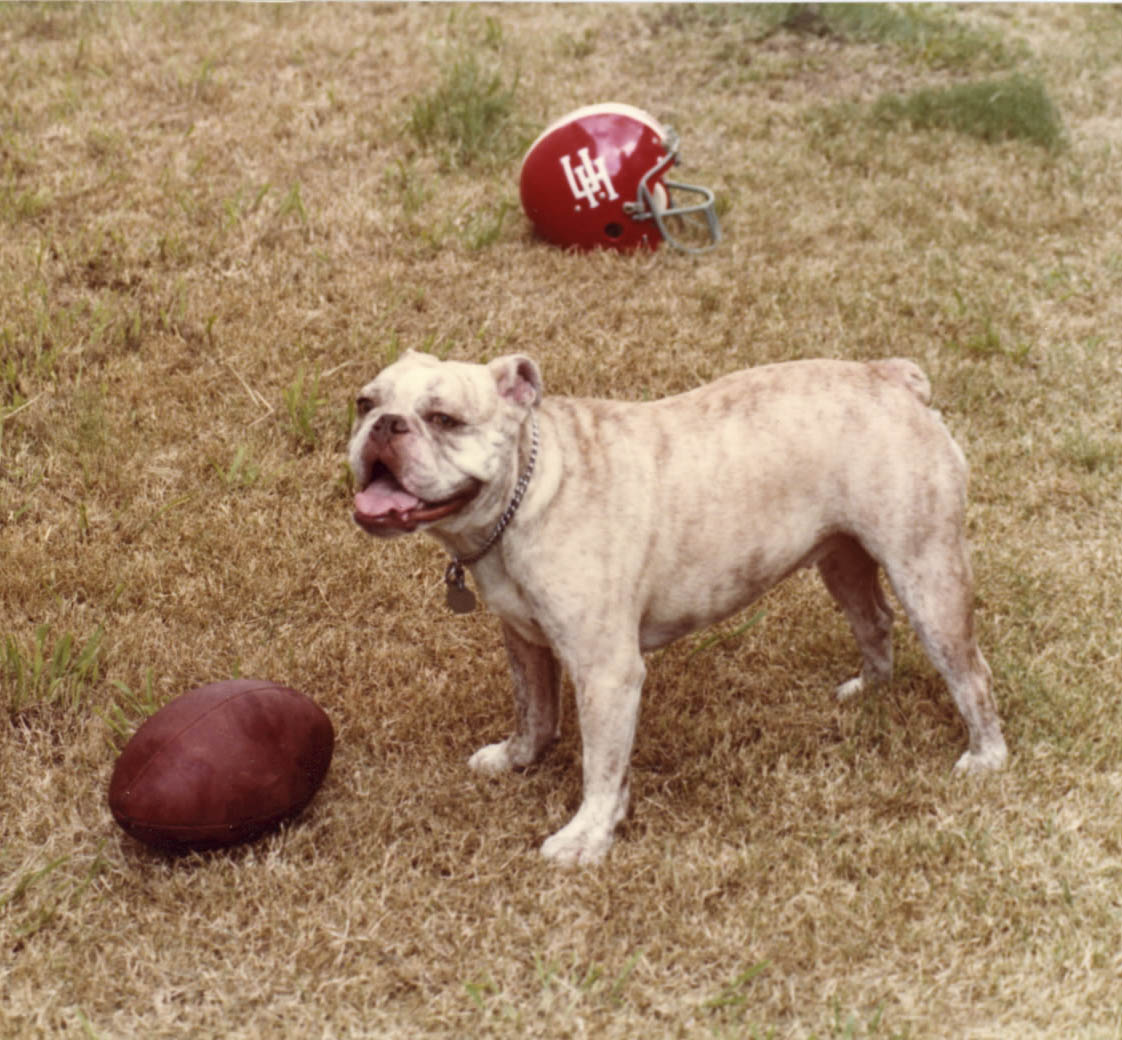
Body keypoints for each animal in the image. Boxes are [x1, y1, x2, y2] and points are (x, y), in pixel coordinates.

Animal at [349, 350, 1007, 866]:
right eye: (363, 403)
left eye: (444, 419)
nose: (384, 425)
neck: (530, 490)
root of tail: (891, 377)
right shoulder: (526, 641)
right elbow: (533, 710)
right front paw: (517, 758)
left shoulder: (606, 674)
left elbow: (601, 765)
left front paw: (587, 837)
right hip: (843, 560)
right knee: (874, 621)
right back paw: (867, 690)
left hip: (928, 574)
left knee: (970, 674)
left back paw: (986, 757)